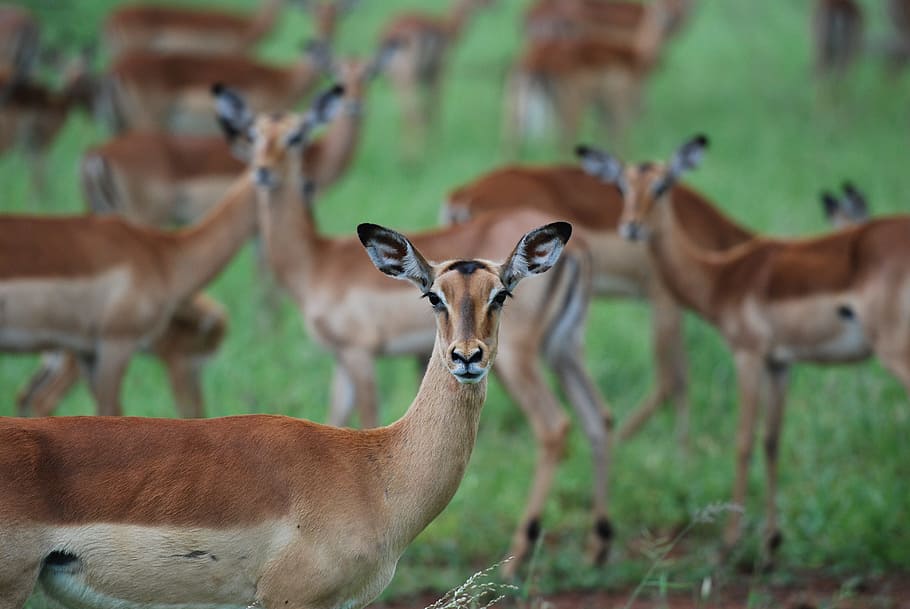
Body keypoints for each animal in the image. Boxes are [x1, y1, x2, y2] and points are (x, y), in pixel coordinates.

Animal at [16, 292, 227, 419]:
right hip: (70, 366)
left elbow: (198, 405)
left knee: (24, 396)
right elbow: (190, 408)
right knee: (43, 399)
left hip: (53, 361)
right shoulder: (178, 363)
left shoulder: (193, 368)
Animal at [216, 84, 615, 576]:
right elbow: (337, 418)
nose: (264, 173)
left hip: (521, 360)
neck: (317, 261)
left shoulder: (360, 354)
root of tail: (577, 250)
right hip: (565, 349)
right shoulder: (341, 361)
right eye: (253, 135)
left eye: (296, 136)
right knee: (598, 417)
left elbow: (366, 419)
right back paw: (598, 546)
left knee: (554, 426)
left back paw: (518, 556)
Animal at [379, 0, 494, 158]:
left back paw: (404, 155)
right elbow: (435, 107)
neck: (448, 28)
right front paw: (438, 148)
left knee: (407, 114)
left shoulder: (425, 79)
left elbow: (427, 109)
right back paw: (418, 156)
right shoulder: (439, 74)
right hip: (409, 78)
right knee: (415, 115)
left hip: (397, 80)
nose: (494, 5)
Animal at [577, 134, 910, 564]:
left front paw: (729, 543)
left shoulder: (747, 355)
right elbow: (771, 443)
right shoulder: (779, 364)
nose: (631, 226)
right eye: (621, 186)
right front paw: (770, 545)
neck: (723, 276)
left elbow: (742, 441)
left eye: (662, 185)